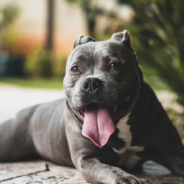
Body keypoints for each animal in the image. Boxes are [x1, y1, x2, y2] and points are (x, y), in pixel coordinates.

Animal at [0, 30, 184, 184]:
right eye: (75, 69)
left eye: (114, 65)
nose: (90, 83)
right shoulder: (86, 159)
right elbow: (108, 169)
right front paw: (124, 178)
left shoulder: (174, 152)